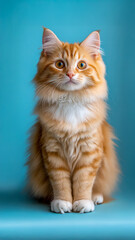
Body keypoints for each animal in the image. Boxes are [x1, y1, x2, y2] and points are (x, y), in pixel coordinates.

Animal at [26, 27, 119, 213]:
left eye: (81, 65)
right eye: (60, 64)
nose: (70, 74)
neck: (70, 101)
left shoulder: (90, 152)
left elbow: (83, 181)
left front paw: (83, 202)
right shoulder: (52, 152)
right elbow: (60, 182)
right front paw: (62, 202)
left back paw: (95, 197)